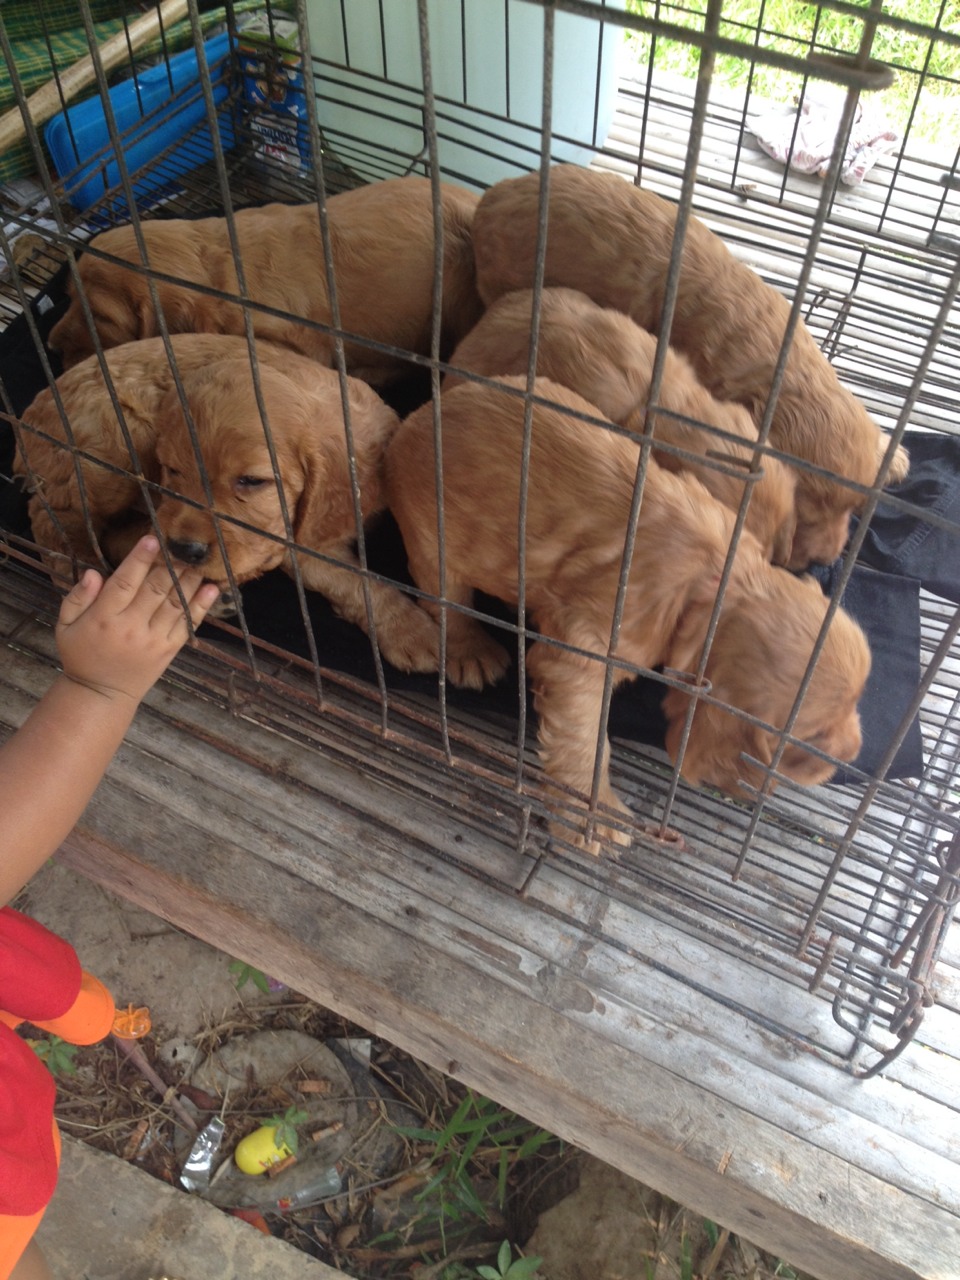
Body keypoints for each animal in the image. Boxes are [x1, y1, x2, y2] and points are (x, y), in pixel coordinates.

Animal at [14, 334, 441, 674]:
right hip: (115, 439)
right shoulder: (287, 539)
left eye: (252, 481)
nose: (186, 549)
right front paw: (416, 633)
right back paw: (87, 578)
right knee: (56, 520)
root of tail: (25, 419)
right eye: (173, 470)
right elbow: (353, 579)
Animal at [385, 376, 870, 850]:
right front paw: (595, 814)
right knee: (445, 599)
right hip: (433, 537)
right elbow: (586, 739)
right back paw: (471, 649)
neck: (716, 583)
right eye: (813, 737)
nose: (855, 752)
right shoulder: (585, 652)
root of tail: (422, 413)